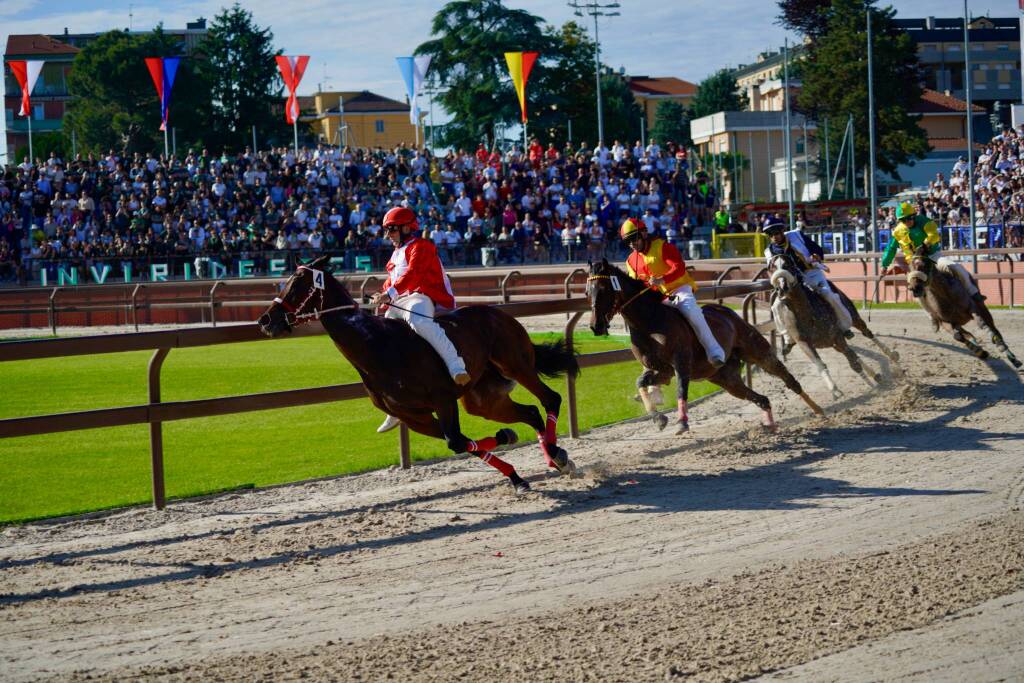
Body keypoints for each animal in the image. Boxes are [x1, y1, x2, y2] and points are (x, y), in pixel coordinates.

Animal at [260, 253, 581, 493]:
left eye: (297, 284)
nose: (266, 320)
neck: (377, 346)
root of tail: (498, 313)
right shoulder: (415, 417)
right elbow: (460, 442)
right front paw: (514, 470)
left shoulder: (443, 398)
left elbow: (457, 441)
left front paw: (508, 444)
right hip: (483, 400)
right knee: (531, 413)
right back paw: (553, 455)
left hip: (516, 364)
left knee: (550, 399)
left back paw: (557, 453)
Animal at [585, 259, 823, 436]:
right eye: (588, 291)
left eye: (603, 288)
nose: (596, 326)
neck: (649, 320)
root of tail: (728, 313)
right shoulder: (661, 370)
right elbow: (641, 383)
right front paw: (659, 418)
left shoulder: (681, 363)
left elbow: (681, 389)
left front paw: (682, 422)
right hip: (727, 379)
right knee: (762, 399)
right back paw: (771, 426)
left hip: (757, 351)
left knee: (788, 379)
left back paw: (819, 409)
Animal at [765, 253, 892, 397]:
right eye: (772, 268)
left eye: (788, 265)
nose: (782, 287)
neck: (806, 313)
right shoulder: (804, 342)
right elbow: (821, 363)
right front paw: (834, 389)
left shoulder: (836, 336)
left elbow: (853, 361)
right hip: (832, 344)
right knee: (854, 352)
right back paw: (875, 375)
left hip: (852, 317)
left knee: (866, 333)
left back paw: (891, 355)